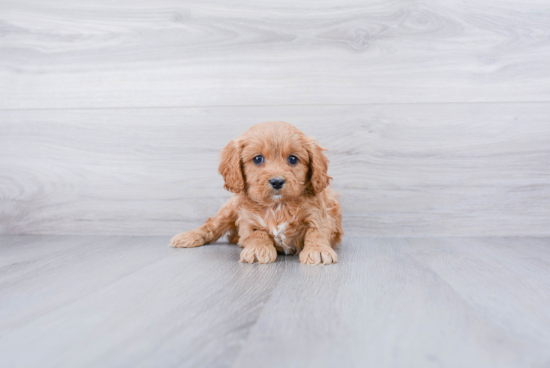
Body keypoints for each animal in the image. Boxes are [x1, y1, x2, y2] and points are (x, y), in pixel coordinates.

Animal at [171, 122, 344, 266]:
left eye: (293, 159)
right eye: (258, 159)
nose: (277, 182)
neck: (277, 206)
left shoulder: (319, 214)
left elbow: (316, 231)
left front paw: (318, 250)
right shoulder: (248, 220)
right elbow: (257, 234)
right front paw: (258, 249)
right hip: (230, 209)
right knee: (212, 224)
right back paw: (188, 237)